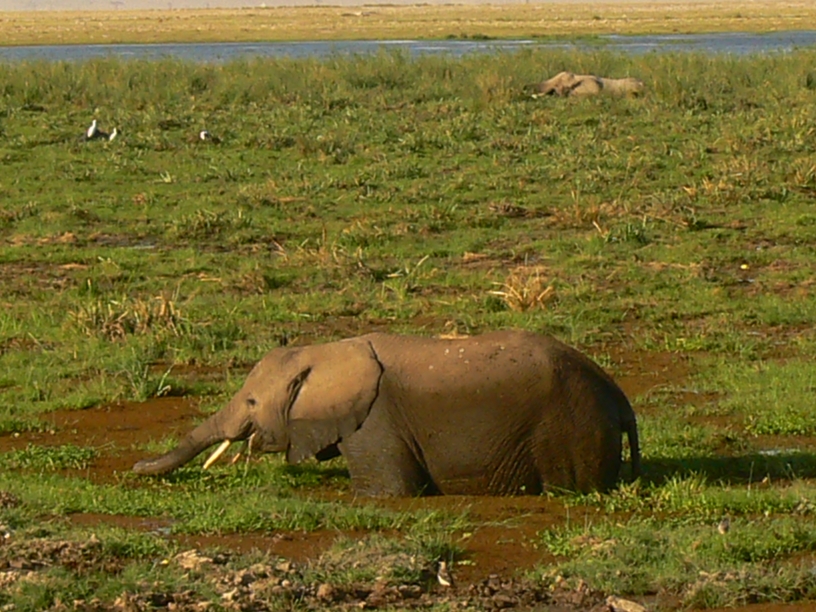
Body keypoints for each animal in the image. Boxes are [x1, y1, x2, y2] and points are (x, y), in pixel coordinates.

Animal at [133, 331, 640, 496]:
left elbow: (388, 492)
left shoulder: (375, 421)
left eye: (253, 402)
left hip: (569, 426)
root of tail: (619, 395)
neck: (327, 350)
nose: (134, 469)